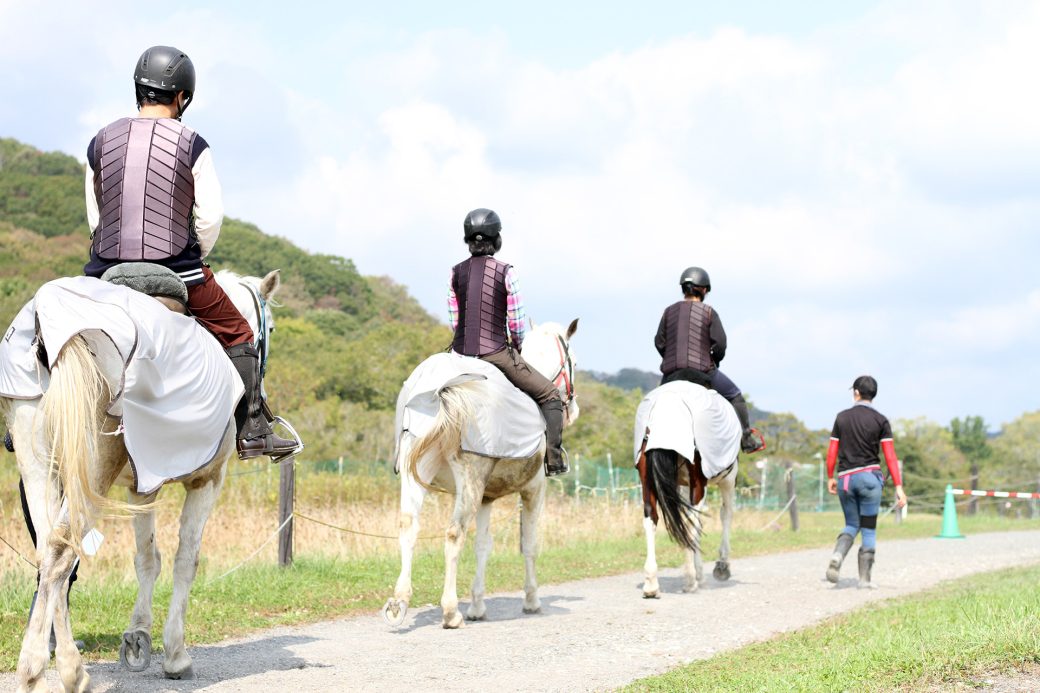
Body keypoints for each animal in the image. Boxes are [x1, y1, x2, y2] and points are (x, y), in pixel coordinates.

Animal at [2, 266, 282, 686]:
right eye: (272, 329)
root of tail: (50, 323)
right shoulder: (207, 482)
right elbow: (186, 560)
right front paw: (176, 654)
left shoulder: (141, 489)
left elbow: (147, 559)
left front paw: (138, 637)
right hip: (91, 470)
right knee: (61, 552)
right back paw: (49, 669)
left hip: (41, 469)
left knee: (50, 555)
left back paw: (59, 666)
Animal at [382, 320, 578, 628]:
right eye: (574, 363)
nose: (574, 408)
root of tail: (440, 390)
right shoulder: (533, 490)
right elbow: (530, 545)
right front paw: (531, 600)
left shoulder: (486, 498)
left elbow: (482, 546)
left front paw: (477, 605)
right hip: (470, 480)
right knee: (454, 534)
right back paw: (451, 612)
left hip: (416, 478)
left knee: (408, 527)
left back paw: (399, 603)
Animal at [632, 380, 740, 595]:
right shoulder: (727, 480)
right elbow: (725, 515)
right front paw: (720, 566)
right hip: (701, 481)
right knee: (692, 522)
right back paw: (691, 579)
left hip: (647, 479)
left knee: (651, 518)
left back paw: (651, 582)